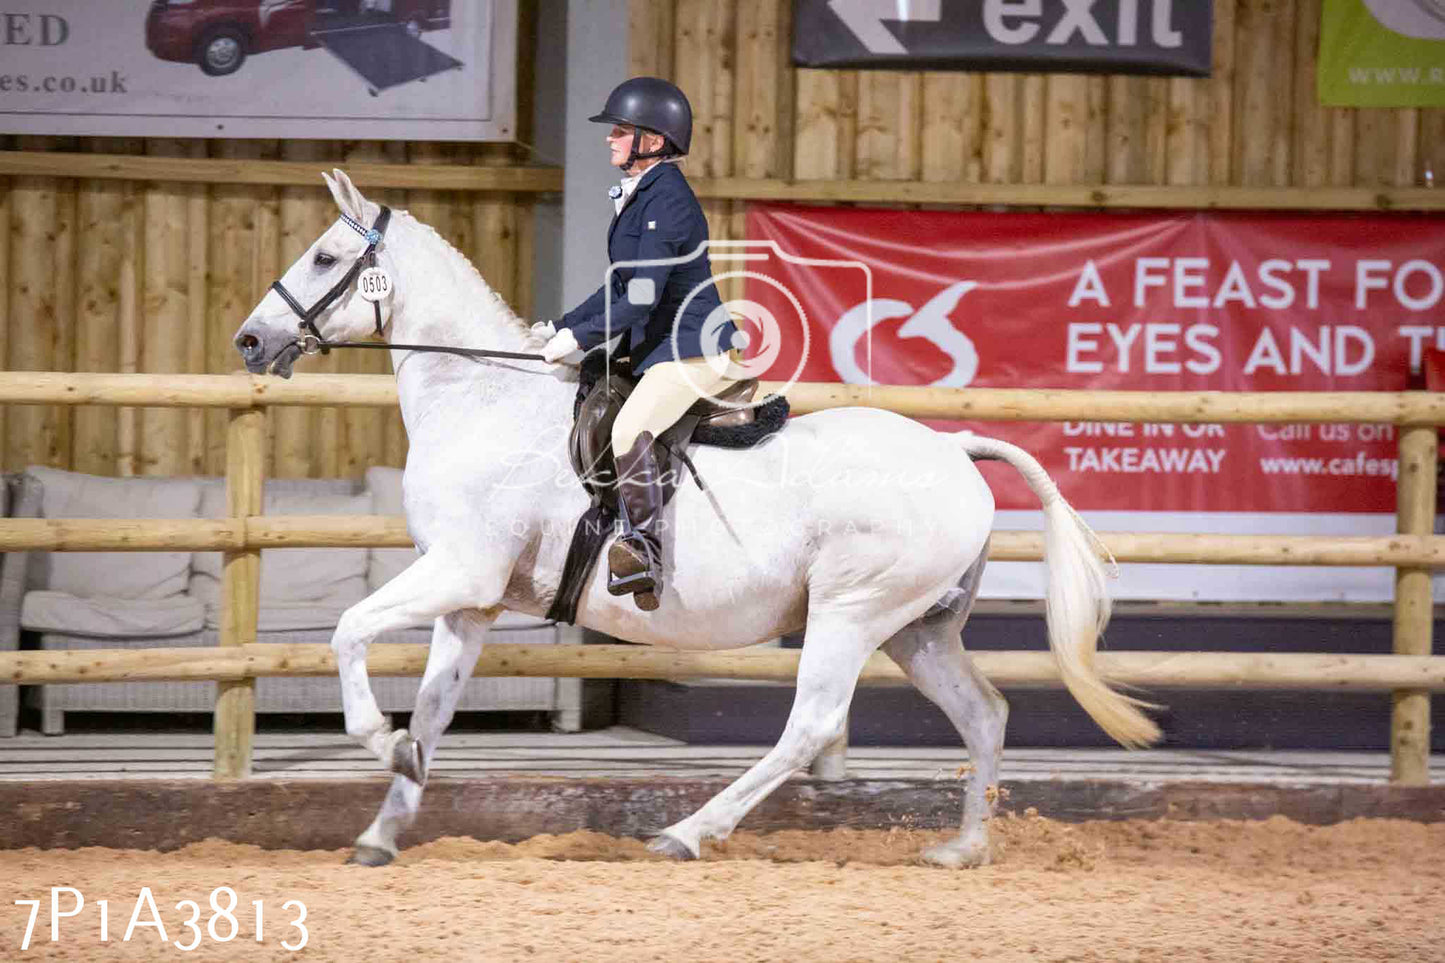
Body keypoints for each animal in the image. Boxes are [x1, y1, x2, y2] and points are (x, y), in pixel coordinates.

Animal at [236, 168, 1161, 867]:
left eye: (325, 255)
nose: (248, 341)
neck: (481, 395)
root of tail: (954, 449)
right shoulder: (472, 599)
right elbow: (430, 707)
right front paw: (385, 820)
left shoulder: (459, 571)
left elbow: (348, 630)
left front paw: (376, 737)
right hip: (915, 628)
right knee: (983, 713)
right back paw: (962, 848)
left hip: (851, 611)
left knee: (811, 724)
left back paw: (687, 831)